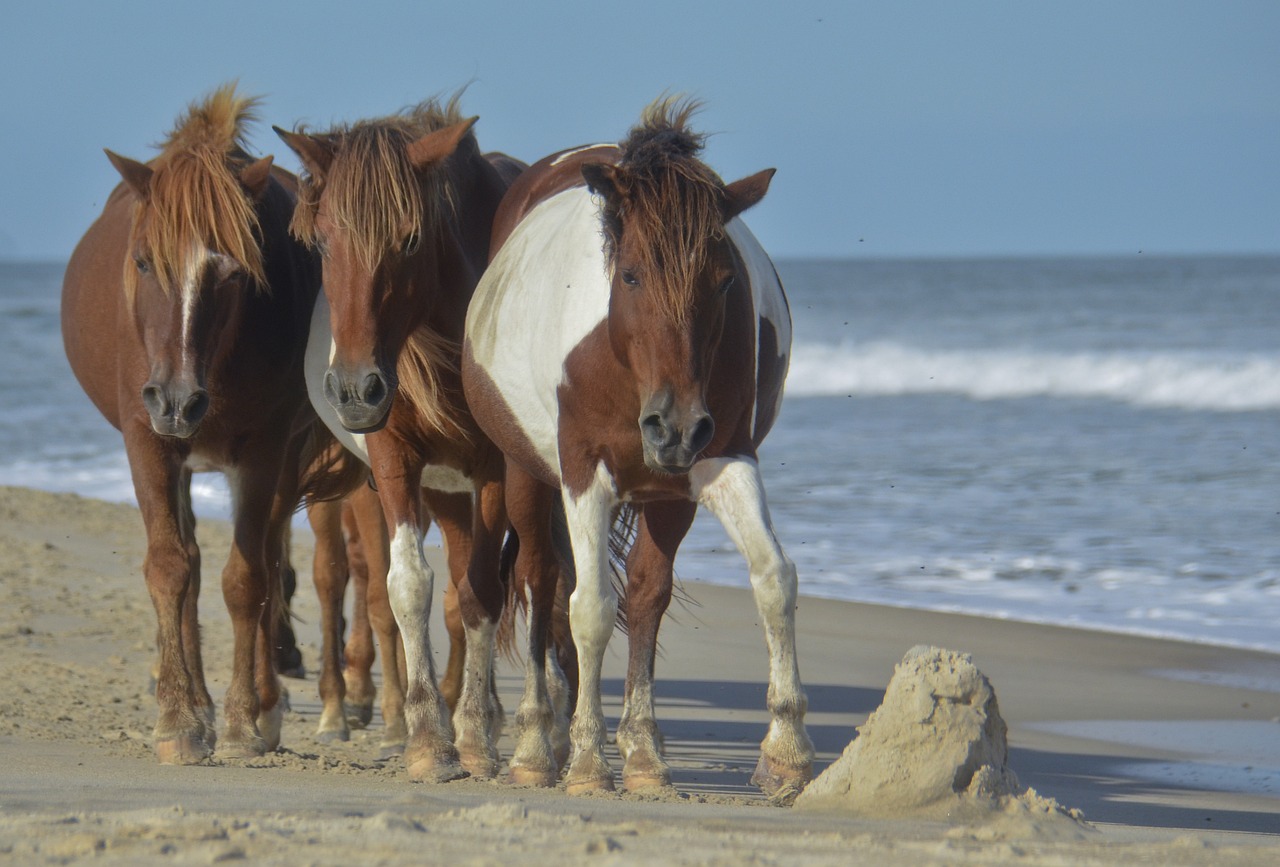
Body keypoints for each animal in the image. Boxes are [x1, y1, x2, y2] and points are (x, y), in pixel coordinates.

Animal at [60, 86, 322, 763]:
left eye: (231, 273)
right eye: (143, 263)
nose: (178, 402)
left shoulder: (263, 451)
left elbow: (247, 578)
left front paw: (240, 722)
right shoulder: (146, 440)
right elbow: (170, 568)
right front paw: (180, 718)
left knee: (266, 560)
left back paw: (263, 703)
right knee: (192, 564)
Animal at [275, 97, 540, 778]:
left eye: (411, 238)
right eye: (322, 240)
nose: (352, 390)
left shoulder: (496, 470)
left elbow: (482, 594)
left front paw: (471, 738)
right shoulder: (394, 462)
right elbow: (409, 588)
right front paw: (427, 739)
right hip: (442, 491)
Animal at [465, 96, 814, 799]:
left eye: (725, 282)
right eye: (629, 276)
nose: (674, 426)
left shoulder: (719, 461)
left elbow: (772, 576)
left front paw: (784, 752)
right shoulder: (583, 473)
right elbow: (590, 608)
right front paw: (587, 762)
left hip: (666, 493)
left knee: (647, 592)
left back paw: (640, 748)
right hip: (525, 475)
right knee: (539, 582)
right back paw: (536, 743)